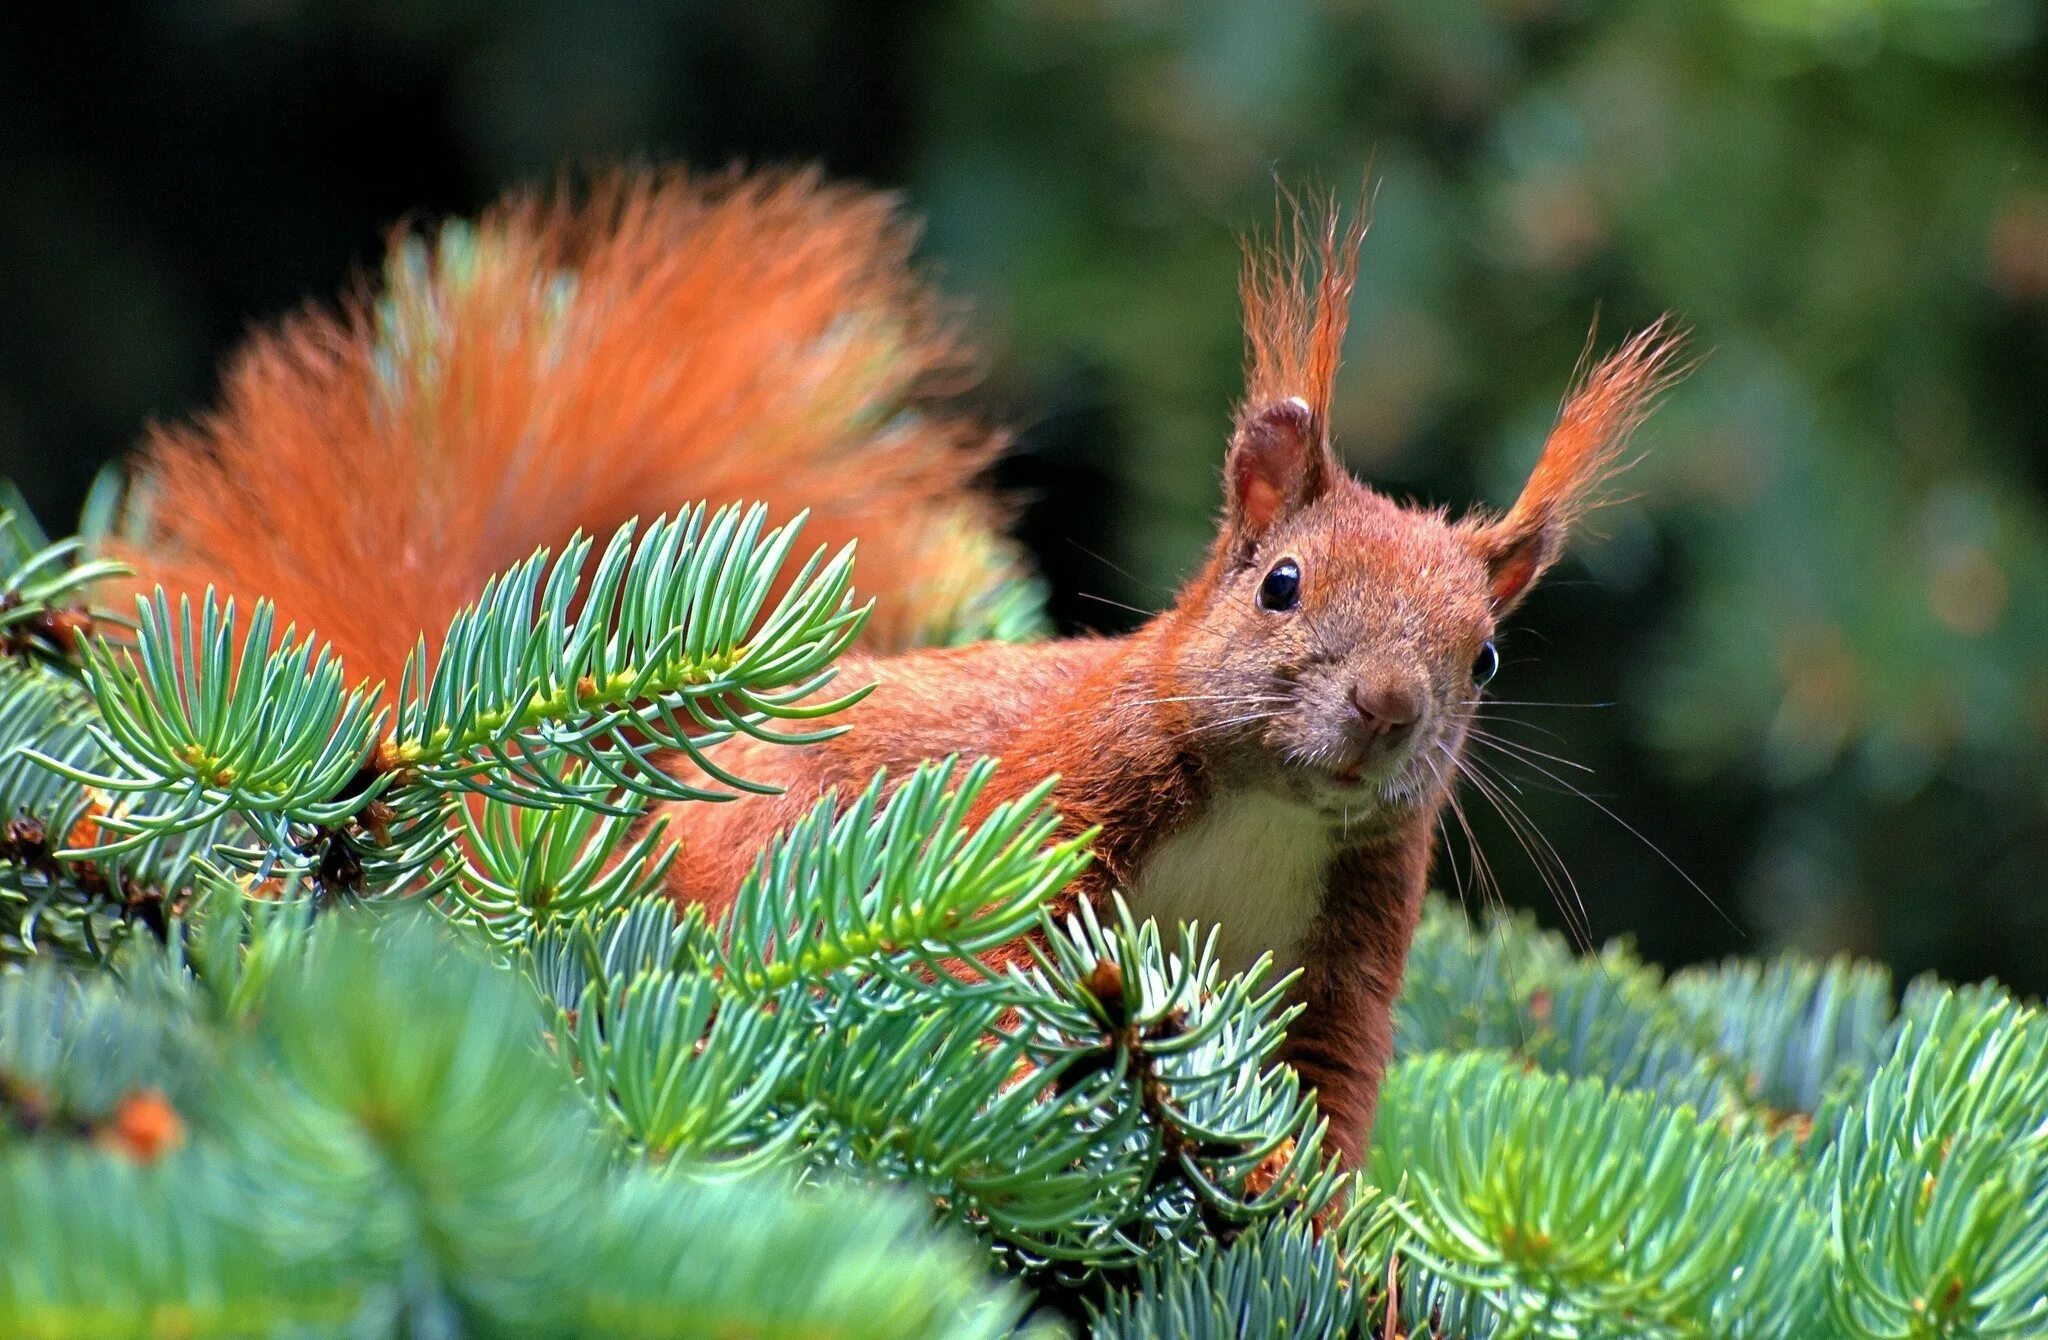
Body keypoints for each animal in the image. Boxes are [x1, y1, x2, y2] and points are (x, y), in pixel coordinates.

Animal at [119, 171, 1679, 1180]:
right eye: (1280, 582)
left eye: (1483, 656)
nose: (1389, 711)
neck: (1264, 816)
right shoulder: (1050, 794)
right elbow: (987, 945)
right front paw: (1014, 1079)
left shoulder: (1350, 962)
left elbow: (1331, 1118)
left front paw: (1331, 1240)